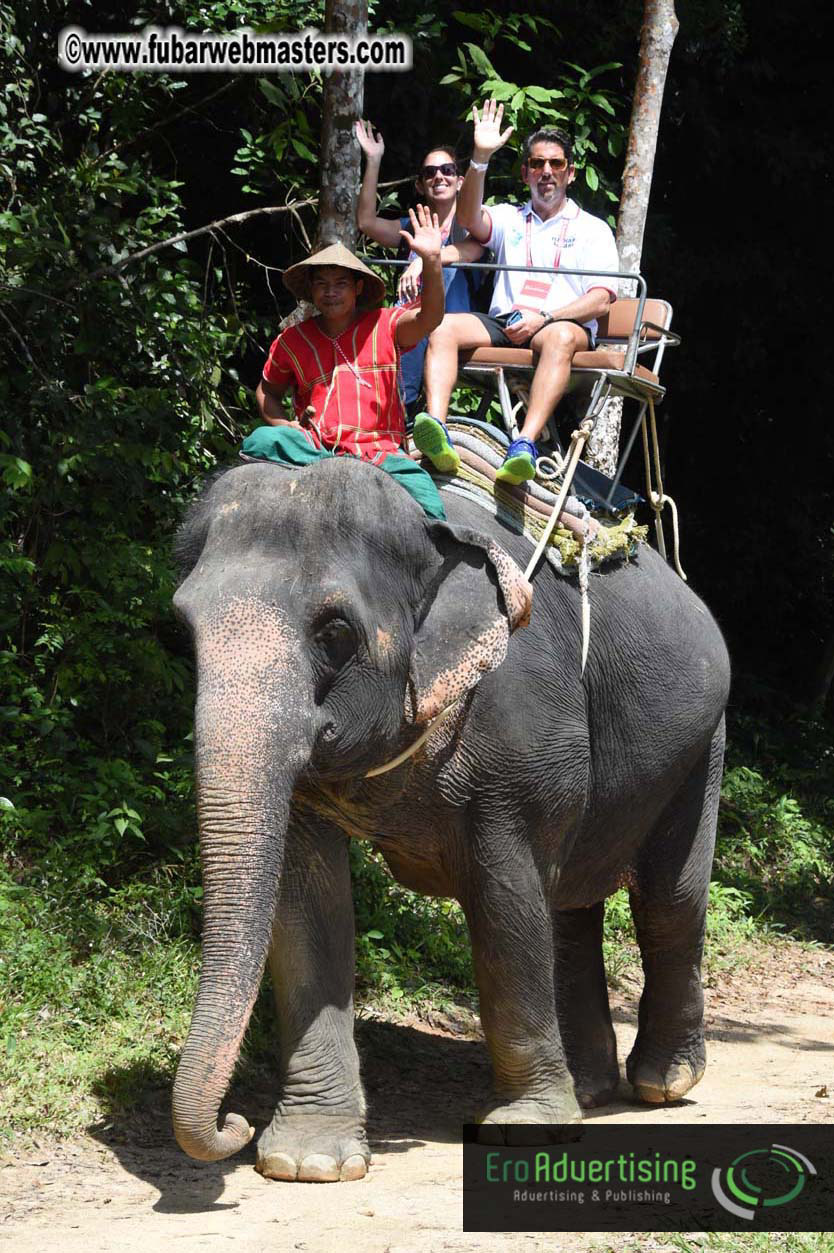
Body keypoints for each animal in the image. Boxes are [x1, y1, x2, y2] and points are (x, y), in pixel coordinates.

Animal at [171, 452, 730, 1181]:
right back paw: (588, 1090)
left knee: (667, 898)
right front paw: (309, 1161)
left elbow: (505, 904)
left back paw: (664, 1082)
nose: (231, 1122)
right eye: (184, 632)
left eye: (335, 632)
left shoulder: (517, 732)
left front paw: (525, 1129)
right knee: (569, 904)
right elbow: (307, 906)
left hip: (702, 742)